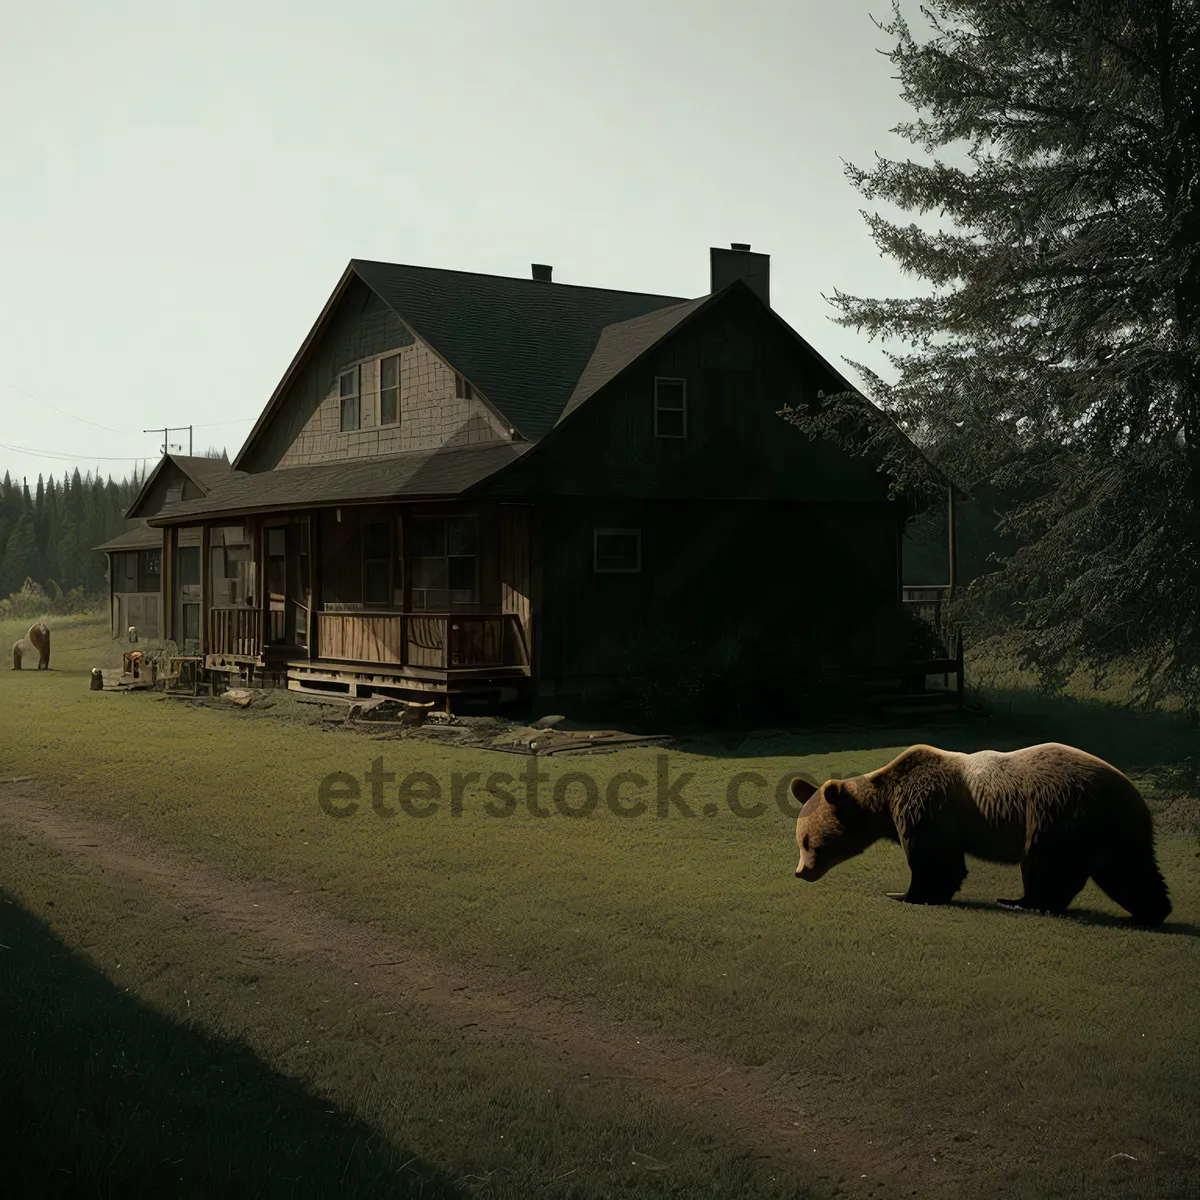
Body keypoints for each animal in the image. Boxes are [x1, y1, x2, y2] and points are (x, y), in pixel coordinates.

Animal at [787, 739, 1171, 926]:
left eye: (808, 841)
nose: (801, 872)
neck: (883, 798)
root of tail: (1136, 795)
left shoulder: (926, 804)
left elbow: (935, 861)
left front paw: (904, 894)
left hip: (1058, 810)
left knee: (1050, 865)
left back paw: (1024, 902)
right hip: (1108, 828)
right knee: (1128, 870)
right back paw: (1151, 912)